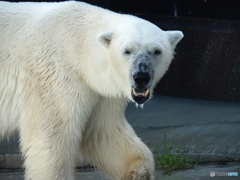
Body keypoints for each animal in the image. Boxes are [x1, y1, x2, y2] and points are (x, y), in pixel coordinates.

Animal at [0, 0, 184, 179]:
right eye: (127, 51)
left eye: (156, 51)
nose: (141, 77)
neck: (77, 46)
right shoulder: (54, 79)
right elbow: (51, 141)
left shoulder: (100, 92)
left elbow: (103, 133)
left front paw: (139, 174)